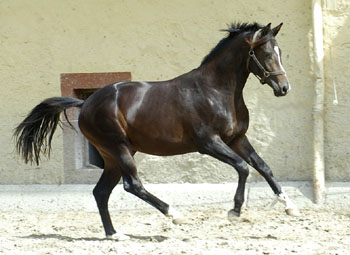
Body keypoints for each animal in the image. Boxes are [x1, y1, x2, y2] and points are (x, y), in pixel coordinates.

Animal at [13, 21, 298, 239]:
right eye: (266, 54)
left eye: (281, 52)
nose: (284, 88)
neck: (216, 90)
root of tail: (86, 103)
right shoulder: (209, 143)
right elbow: (242, 167)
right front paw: (235, 212)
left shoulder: (237, 138)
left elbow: (263, 167)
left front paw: (289, 206)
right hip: (120, 149)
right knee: (133, 185)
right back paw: (176, 215)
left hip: (111, 157)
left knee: (101, 192)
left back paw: (114, 235)